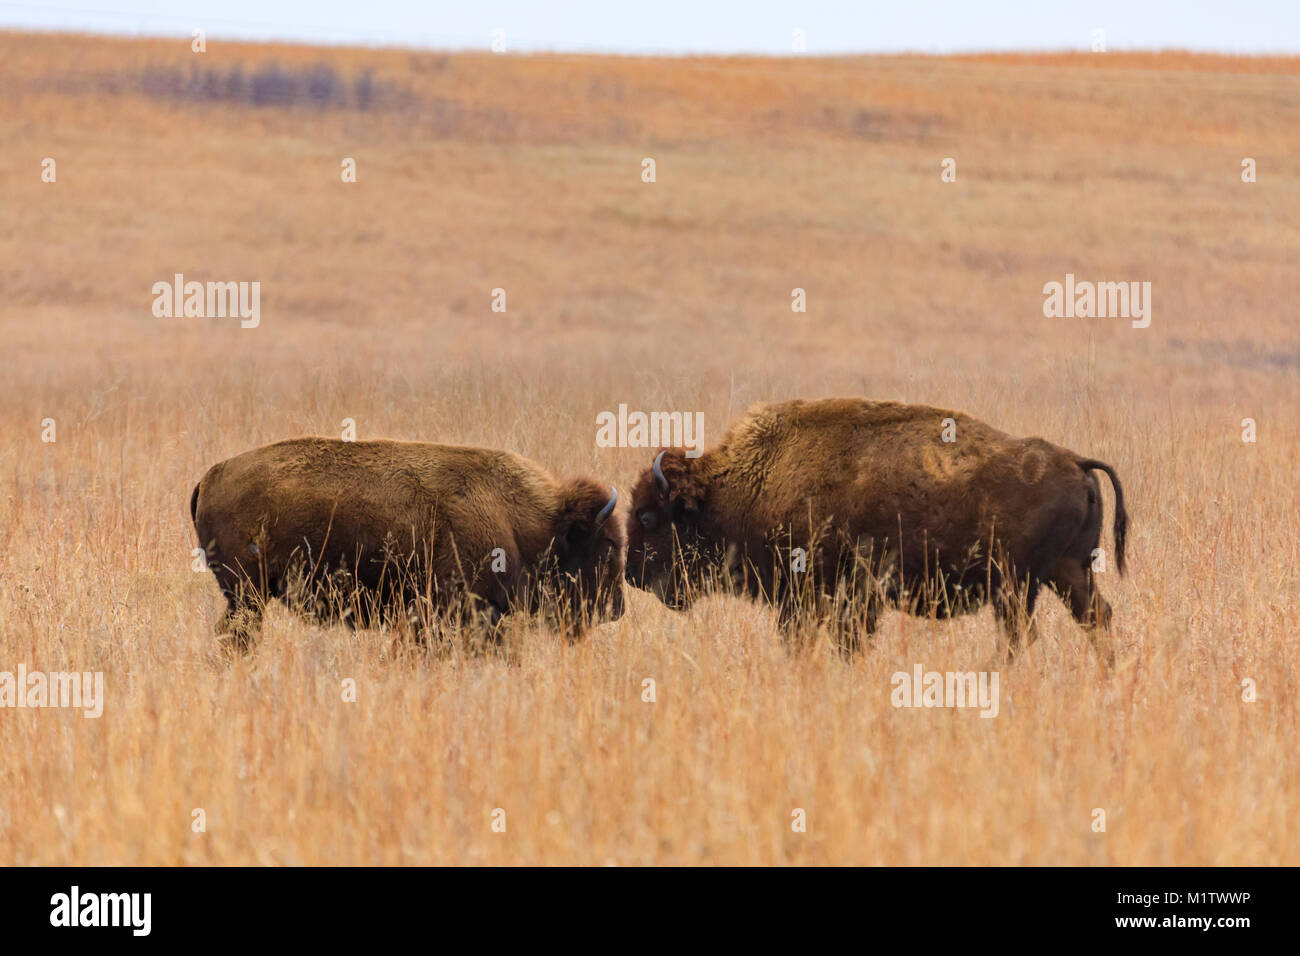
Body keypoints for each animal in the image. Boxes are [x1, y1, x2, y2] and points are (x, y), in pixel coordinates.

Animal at [626, 398, 1127, 660]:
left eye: (648, 518)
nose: (631, 575)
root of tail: (1076, 462)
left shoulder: (820, 596)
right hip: (1068, 574)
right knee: (1096, 619)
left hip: (1019, 585)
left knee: (1025, 635)